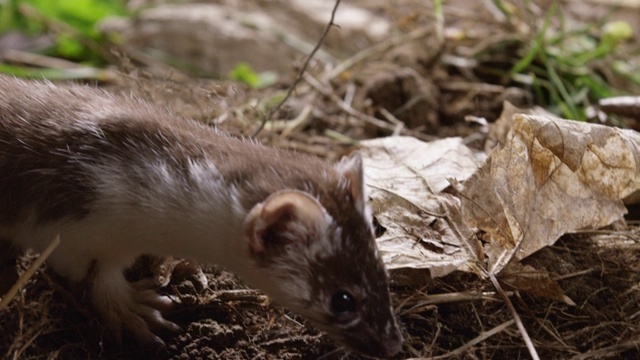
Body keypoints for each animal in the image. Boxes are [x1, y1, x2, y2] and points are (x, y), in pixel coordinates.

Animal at [0, 75, 402, 358]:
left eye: (382, 272)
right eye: (343, 299)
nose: (394, 345)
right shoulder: (75, 229)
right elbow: (99, 279)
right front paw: (137, 310)